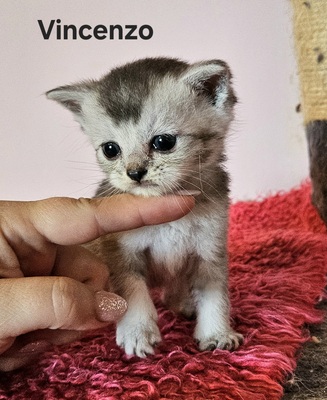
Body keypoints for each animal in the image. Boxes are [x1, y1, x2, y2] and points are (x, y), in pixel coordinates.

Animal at [47, 56, 245, 356]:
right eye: (110, 149)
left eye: (163, 142)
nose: (135, 173)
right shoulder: (121, 252)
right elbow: (132, 292)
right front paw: (137, 332)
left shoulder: (210, 248)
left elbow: (215, 293)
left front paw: (217, 333)